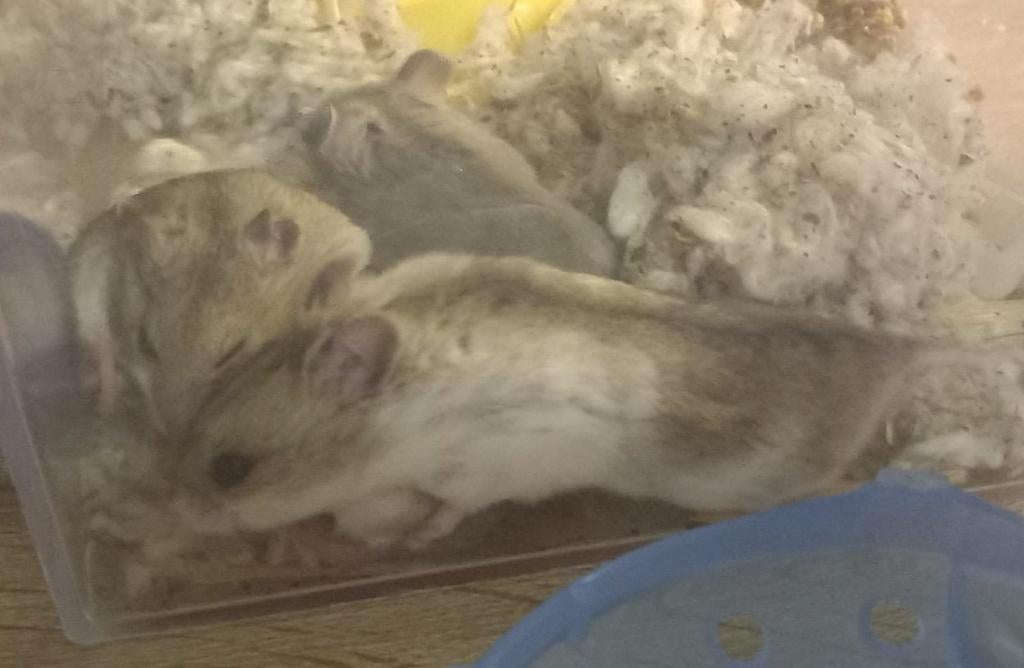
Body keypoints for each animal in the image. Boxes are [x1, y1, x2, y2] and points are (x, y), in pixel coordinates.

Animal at [171, 254, 994, 550]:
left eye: (231, 469)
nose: (171, 515)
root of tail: (896, 352)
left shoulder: (484, 471)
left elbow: (449, 511)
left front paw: (416, 537)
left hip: (768, 482)